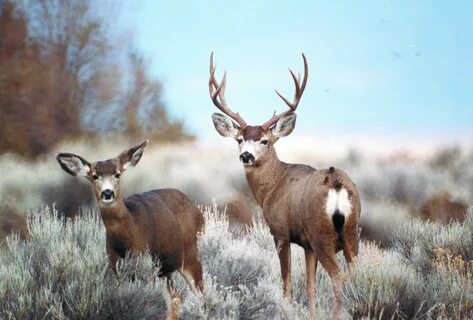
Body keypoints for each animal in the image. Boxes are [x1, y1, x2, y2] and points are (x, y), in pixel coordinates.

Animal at [55, 141, 203, 316]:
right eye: (95, 176)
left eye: (117, 174)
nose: (107, 193)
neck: (128, 234)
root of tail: (197, 209)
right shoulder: (114, 264)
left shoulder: (145, 263)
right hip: (166, 270)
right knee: (174, 300)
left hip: (190, 255)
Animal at [208, 52, 360, 318]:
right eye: (239, 139)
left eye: (264, 140)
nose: (246, 156)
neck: (273, 187)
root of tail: (337, 184)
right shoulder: (307, 245)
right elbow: (309, 285)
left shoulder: (280, 232)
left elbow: (286, 281)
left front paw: (284, 308)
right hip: (351, 232)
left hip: (323, 235)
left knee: (338, 276)